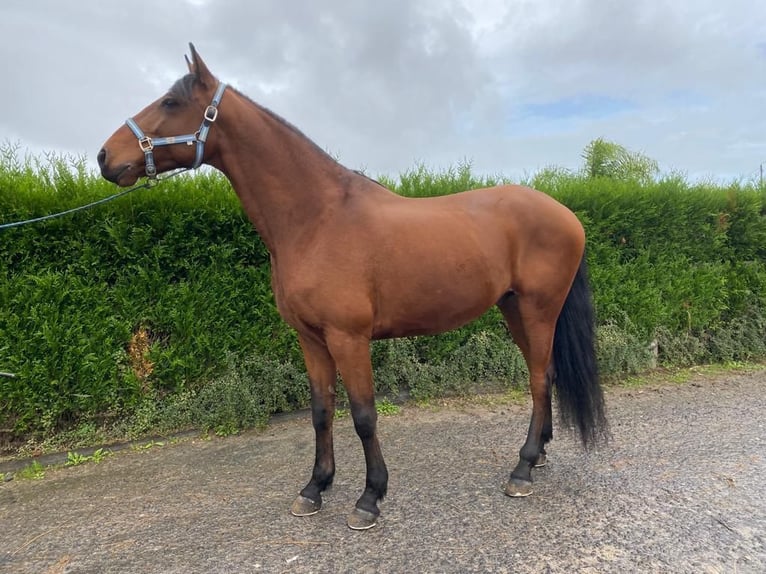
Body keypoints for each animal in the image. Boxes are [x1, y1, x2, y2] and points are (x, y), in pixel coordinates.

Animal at [99, 42, 608, 532]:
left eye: (170, 102)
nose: (105, 157)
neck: (316, 219)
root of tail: (566, 214)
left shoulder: (349, 337)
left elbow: (363, 415)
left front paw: (369, 498)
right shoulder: (310, 339)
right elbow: (321, 410)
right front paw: (314, 488)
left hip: (540, 310)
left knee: (539, 379)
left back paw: (521, 470)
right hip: (514, 309)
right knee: (545, 375)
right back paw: (538, 457)